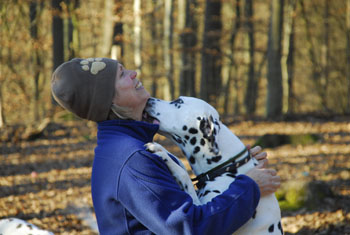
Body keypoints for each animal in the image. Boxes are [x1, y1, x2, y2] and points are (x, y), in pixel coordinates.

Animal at [145, 96, 284, 235]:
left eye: (178, 102)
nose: (149, 99)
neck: (229, 166)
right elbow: (181, 165)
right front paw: (162, 148)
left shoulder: (200, 209)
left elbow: (184, 175)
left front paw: (162, 153)